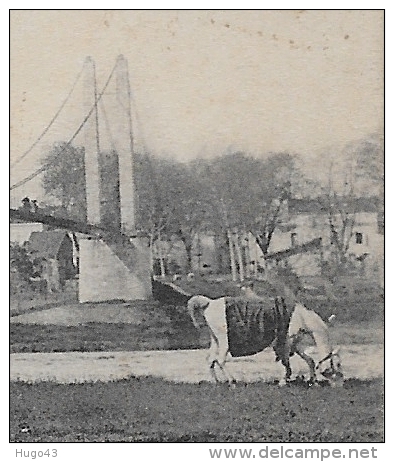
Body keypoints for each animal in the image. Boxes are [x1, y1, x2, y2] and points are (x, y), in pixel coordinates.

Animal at [187, 294, 342, 384]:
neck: (301, 316)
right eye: (338, 365)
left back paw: (216, 381)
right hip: (224, 339)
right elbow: (285, 361)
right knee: (220, 359)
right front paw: (283, 381)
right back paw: (232, 381)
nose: (340, 383)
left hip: (215, 339)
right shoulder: (286, 341)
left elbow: (309, 360)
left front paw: (313, 380)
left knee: (210, 359)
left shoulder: (295, 343)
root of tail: (210, 303)